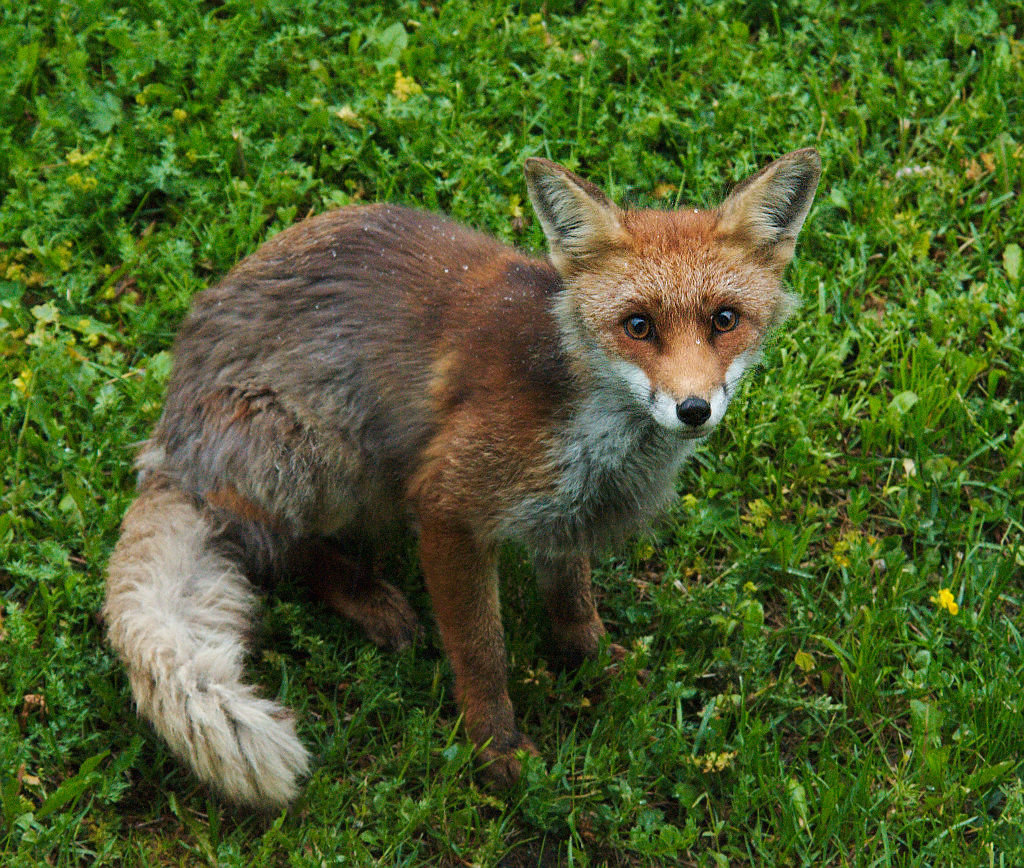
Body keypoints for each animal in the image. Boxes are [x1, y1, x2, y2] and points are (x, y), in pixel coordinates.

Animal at [101, 147, 823, 806]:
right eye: (638, 326)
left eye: (724, 320)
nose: (693, 409)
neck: (586, 424)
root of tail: (170, 445)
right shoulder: (447, 507)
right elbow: (481, 651)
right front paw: (496, 750)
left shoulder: (567, 513)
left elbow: (572, 599)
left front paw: (591, 662)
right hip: (331, 459)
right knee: (285, 548)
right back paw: (369, 597)